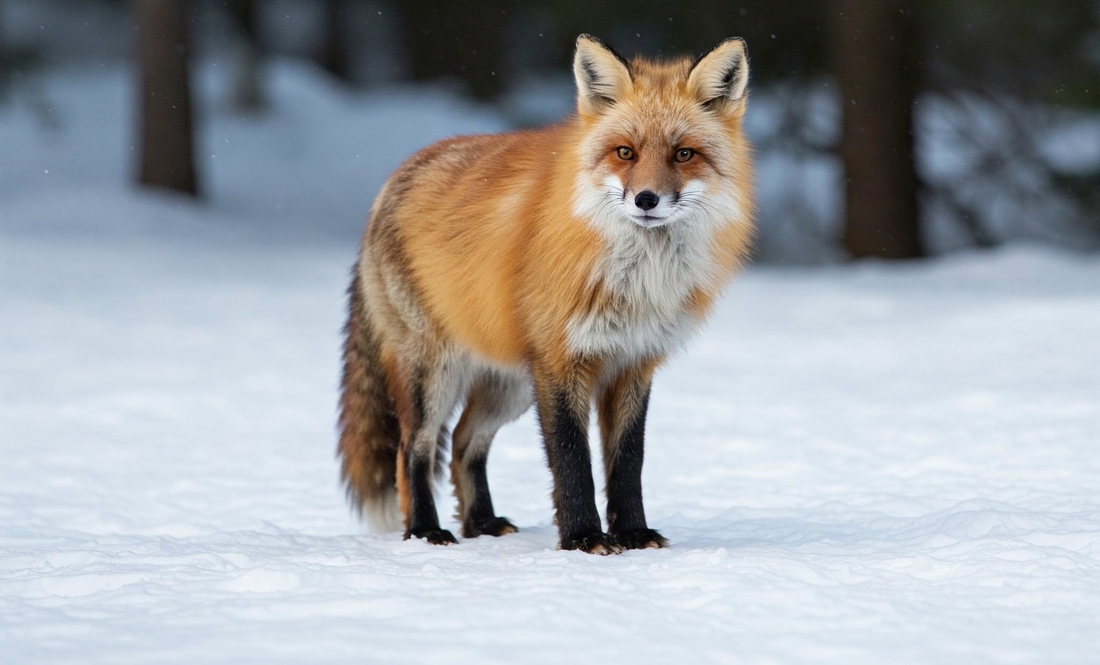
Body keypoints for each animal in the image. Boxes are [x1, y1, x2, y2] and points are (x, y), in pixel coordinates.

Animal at [338, 35, 752, 553]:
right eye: (625, 152)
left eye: (683, 154)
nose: (646, 200)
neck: (637, 281)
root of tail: (393, 179)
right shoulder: (560, 362)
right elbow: (572, 461)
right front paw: (583, 538)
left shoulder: (634, 362)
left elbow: (627, 461)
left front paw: (633, 534)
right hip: (434, 372)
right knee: (413, 448)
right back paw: (425, 530)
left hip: (511, 384)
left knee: (463, 443)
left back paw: (481, 524)